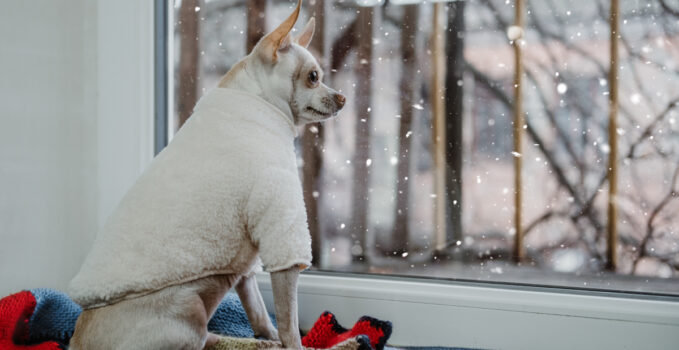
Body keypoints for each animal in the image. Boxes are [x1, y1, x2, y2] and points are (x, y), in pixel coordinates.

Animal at [67, 1, 346, 348]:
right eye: (313, 77)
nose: (342, 97)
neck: (259, 103)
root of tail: (77, 342)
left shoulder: (246, 263)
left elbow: (257, 307)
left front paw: (268, 335)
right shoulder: (281, 229)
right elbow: (288, 320)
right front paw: (291, 343)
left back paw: (259, 342)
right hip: (188, 312)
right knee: (204, 339)